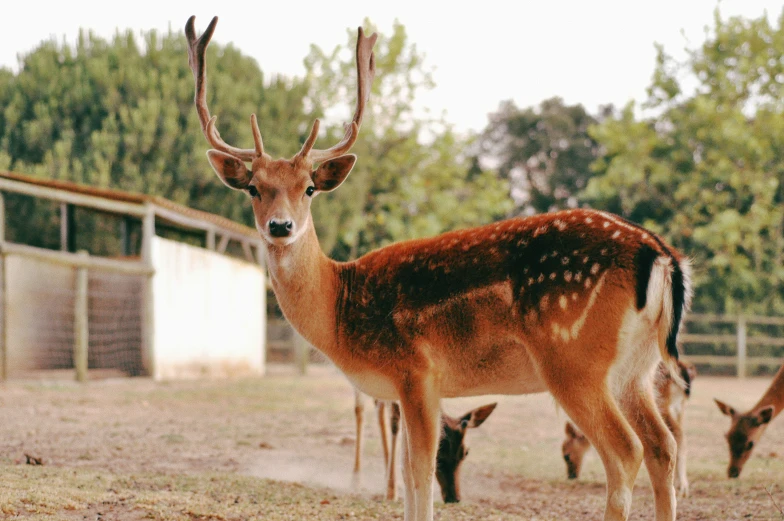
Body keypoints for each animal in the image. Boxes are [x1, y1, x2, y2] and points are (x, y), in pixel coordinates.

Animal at [354, 392, 496, 502]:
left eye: (465, 452)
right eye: (438, 455)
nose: (454, 498)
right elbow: (394, 419)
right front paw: (390, 494)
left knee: (377, 404)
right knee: (360, 408)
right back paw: (356, 479)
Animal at [564, 360, 700, 498]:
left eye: (566, 455)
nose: (571, 476)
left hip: (662, 404)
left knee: (678, 435)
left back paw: (681, 487)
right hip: (679, 407)